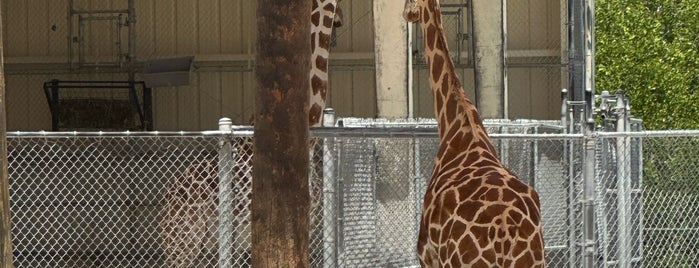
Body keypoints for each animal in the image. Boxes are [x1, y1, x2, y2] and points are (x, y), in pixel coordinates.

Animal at [404, 1, 548, 266]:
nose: (407, 13)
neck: (458, 127)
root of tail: (506, 231)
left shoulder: (427, 255)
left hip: (461, 261)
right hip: (534, 260)